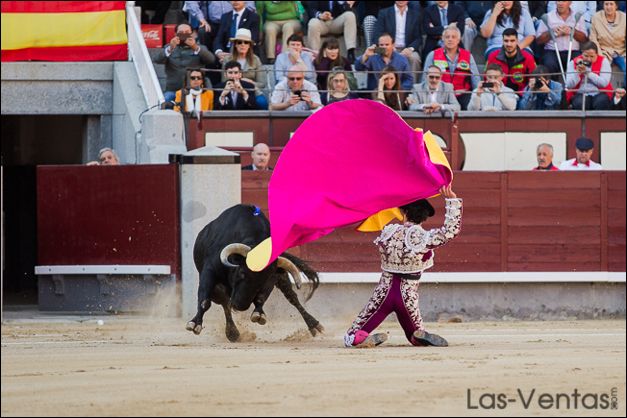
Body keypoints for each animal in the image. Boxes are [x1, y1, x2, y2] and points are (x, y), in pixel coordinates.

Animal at [185, 204, 323, 342]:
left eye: (264, 279)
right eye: (241, 272)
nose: (240, 306)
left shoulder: (272, 279)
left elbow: (261, 297)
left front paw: (259, 314)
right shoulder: (210, 272)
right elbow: (204, 301)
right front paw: (195, 324)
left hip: (282, 277)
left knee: (292, 297)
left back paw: (314, 325)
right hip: (217, 291)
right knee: (224, 303)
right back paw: (232, 332)